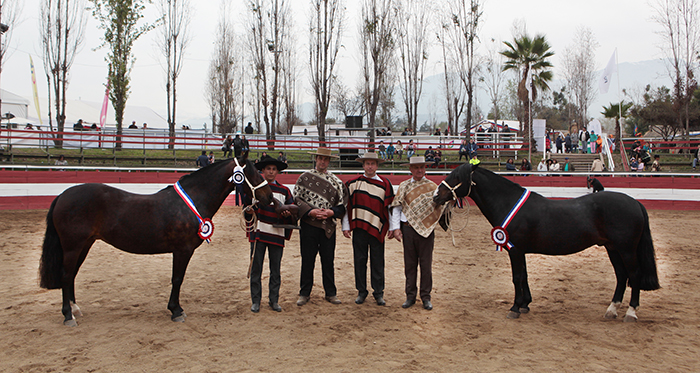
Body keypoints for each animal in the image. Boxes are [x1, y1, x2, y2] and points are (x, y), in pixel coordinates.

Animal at [37, 153, 274, 324]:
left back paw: (75, 309)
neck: (192, 201)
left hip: (84, 245)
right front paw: (176, 311)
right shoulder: (182, 250)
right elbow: (177, 279)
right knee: (66, 275)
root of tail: (62, 195)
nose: (270, 197)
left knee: (72, 275)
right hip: (73, 246)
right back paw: (68, 316)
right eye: (253, 174)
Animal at [434, 162, 660, 320]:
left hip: (627, 249)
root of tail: (635, 203)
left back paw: (631, 313)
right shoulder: (520, 250)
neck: (508, 202)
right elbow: (524, 276)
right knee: (622, 276)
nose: (436, 196)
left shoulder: (515, 250)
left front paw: (515, 308)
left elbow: (517, 277)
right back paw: (612, 310)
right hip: (613, 248)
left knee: (634, 275)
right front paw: (525, 304)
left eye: (456, 177)